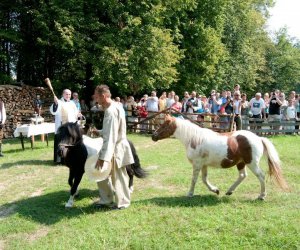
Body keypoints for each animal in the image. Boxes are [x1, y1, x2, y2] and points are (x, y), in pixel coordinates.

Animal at [152, 114, 288, 199]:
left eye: (163, 125)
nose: (153, 136)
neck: (194, 139)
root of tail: (259, 138)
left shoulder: (197, 164)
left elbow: (194, 179)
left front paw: (190, 193)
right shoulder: (203, 165)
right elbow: (204, 179)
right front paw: (216, 190)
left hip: (252, 163)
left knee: (261, 176)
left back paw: (261, 196)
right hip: (241, 163)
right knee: (243, 176)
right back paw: (229, 191)